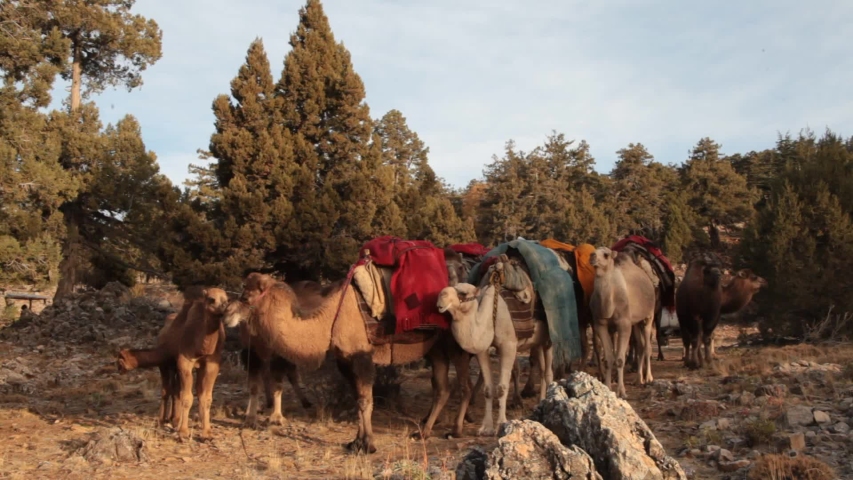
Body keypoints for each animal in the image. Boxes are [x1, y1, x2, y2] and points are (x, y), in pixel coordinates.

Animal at [117, 288, 229, 440]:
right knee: (173, 390)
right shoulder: (176, 362)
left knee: (179, 390)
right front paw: (182, 431)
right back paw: (169, 420)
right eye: (211, 299)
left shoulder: (212, 363)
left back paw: (177, 420)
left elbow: (205, 398)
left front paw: (207, 433)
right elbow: (182, 395)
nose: (225, 309)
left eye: (227, 300)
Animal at [223, 273, 472, 454]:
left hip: (455, 345)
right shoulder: (345, 359)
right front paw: (355, 443)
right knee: (442, 388)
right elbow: (357, 398)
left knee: (464, 386)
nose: (227, 314)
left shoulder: (362, 355)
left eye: (246, 296)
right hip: (435, 349)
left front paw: (368, 444)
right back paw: (424, 431)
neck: (329, 320)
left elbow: (365, 400)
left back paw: (456, 430)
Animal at [438, 281, 551, 436]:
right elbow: (488, 389)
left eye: (463, 293)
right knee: (542, 368)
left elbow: (502, 387)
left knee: (549, 372)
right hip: (538, 342)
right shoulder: (483, 350)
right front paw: (486, 428)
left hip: (549, 340)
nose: (440, 297)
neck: (490, 317)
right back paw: (541, 402)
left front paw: (501, 425)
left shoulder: (508, 345)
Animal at [589, 247, 655, 398]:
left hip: (649, 316)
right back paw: (638, 380)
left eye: (606, 254)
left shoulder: (623, 324)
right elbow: (608, 359)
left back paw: (649, 378)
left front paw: (622, 392)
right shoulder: (600, 324)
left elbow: (619, 359)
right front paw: (608, 387)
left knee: (647, 346)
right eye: (594, 251)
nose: (592, 256)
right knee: (641, 346)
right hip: (635, 322)